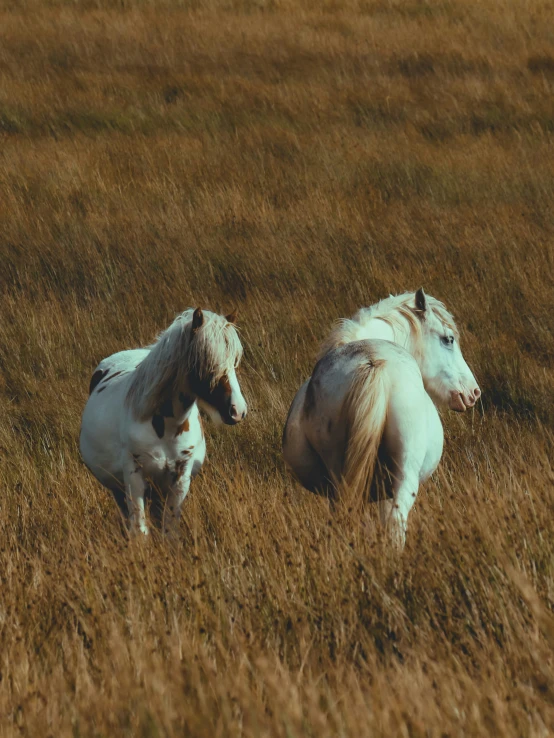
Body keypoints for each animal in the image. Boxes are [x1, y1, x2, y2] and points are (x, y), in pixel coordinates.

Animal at [80, 306, 246, 536]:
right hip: (119, 488)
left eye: (234, 361)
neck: (165, 428)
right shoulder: (134, 476)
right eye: (205, 361)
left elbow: (169, 530)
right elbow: (139, 530)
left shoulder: (180, 478)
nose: (238, 411)